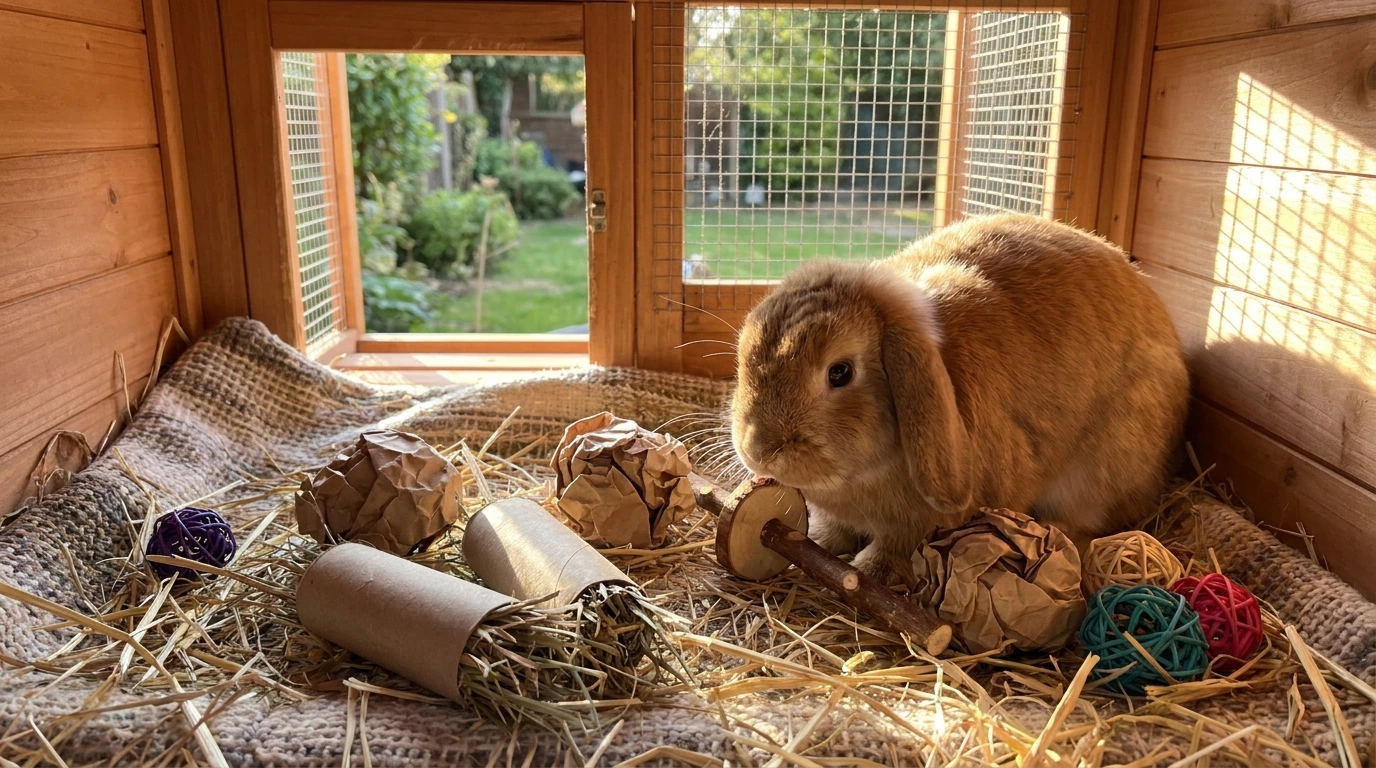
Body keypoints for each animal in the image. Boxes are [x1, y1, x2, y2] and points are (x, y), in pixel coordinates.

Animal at [728, 213, 1190, 585]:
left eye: (839, 372)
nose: (759, 450)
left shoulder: (918, 523)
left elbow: (898, 545)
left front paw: (871, 570)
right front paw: (820, 540)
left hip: (1103, 470)